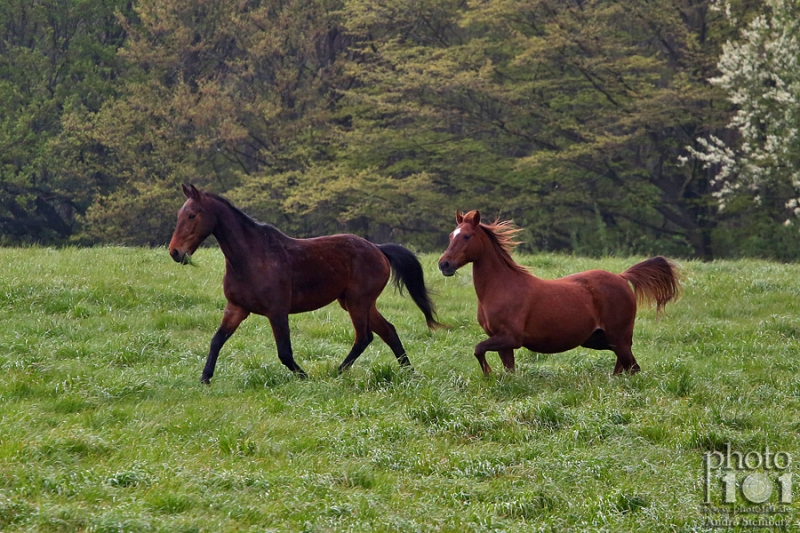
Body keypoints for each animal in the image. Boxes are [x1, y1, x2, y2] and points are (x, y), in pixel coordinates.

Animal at [170, 185, 444, 380]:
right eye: (179, 214)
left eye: (192, 215)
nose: (175, 252)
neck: (252, 256)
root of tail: (378, 249)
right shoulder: (236, 308)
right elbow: (216, 340)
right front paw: (205, 378)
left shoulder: (277, 311)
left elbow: (284, 352)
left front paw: (304, 376)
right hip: (357, 302)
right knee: (388, 331)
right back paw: (409, 372)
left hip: (358, 302)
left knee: (364, 337)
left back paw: (338, 372)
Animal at [438, 209, 680, 374]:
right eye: (450, 235)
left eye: (466, 236)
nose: (444, 264)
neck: (501, 287)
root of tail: (621, 277)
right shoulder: (502, 342)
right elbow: (508, 369)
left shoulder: (510, 337)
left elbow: (478, 349)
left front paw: (488, 374)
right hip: (600, 339)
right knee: (626, 365)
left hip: (617, 336)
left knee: (632, 366)